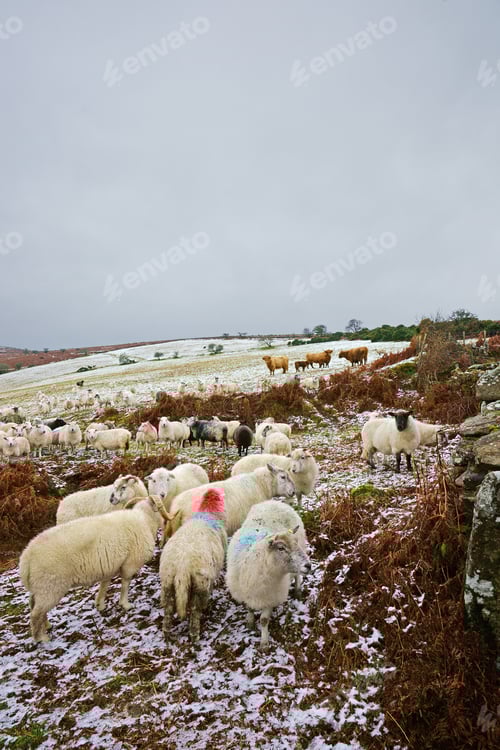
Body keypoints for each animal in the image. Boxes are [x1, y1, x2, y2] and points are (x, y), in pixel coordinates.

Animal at [19, 495, 169, 643]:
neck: (145, 520)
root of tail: (26, 558)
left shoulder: (110, 567)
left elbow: (105, 585)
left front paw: (100, 604)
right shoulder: (129, 564)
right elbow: (125, 584)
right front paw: (125, 604)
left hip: (40, 587)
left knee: (34, 604)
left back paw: (46, 625)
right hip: (50, 587)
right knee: (35, 614)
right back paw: (41, 638)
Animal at [160, 487, 227, 642]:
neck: (206, 512)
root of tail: (182, 566)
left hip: (167, 580)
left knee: (168, 607)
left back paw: (167, 633)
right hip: (199, 582)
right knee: (196, 609)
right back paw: (195, 634)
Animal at [226, 502, 311, 650]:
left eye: (295, 543)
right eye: (281, 548)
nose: (308, 565)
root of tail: (275, 502)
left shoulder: (270, 597)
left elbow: (264, 620)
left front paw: (264, 643)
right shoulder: (246, 593)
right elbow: (249, 608)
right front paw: (250, 622)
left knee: (297, 575)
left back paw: (297, 590)